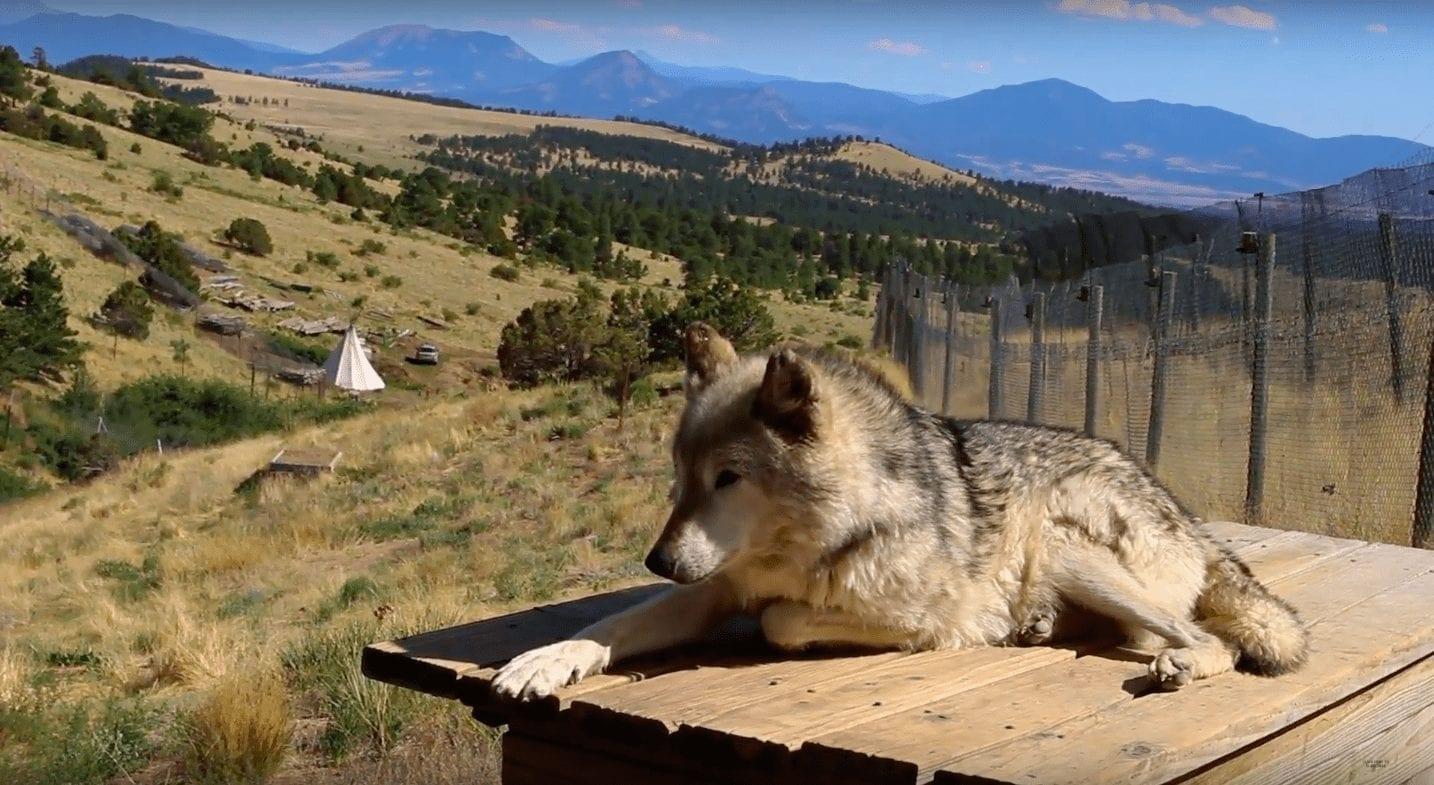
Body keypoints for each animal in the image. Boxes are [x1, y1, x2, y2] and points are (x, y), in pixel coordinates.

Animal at [492, 322, 1308, 700]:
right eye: (682, 476)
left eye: (729, 477)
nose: (657, 561)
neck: (814, 541)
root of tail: (1186, 512)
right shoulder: (712, 586)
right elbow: (611, 624)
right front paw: (542, 661)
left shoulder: (925, 617)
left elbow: (781, 621)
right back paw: (1043, 623)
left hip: (1066, 543)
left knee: (1205, 635)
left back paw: (1178, 659)